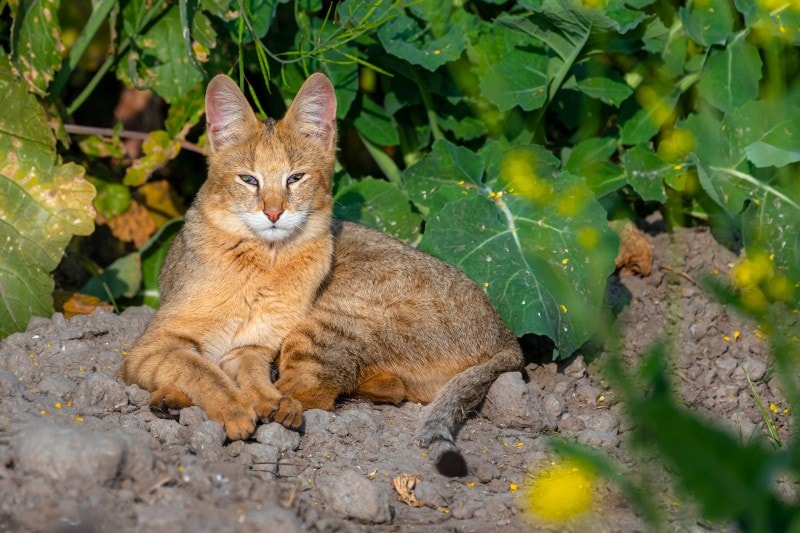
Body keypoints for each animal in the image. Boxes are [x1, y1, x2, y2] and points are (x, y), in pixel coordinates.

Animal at [119, 71, 524, 474]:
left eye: (295, 178)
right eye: (249, 180)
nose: (273, 212)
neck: (264, 263)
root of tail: (508, 338)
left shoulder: (247, 347)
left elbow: (238, 377)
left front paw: (253, 406)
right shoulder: (156, 346)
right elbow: (203, 370)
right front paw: (236, 408)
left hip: (330, 318)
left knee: (315, 392)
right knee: (374, 389)